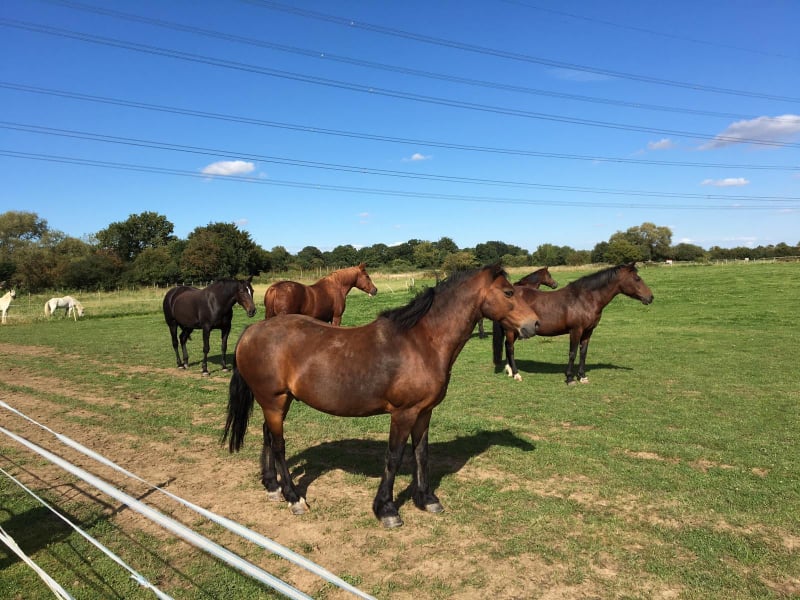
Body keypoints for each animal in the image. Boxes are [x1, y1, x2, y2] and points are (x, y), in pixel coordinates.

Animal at [223, 264, 540, 528]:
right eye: (509, 292)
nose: (534, 325)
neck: (422, 342)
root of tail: (252, 330)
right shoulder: (403, 413)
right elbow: (394, 456)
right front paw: (386, 509)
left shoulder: (424, 412)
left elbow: (421, 453)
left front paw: (427, 499)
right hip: (274, 400)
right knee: (278, 445)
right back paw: (293, 497)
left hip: (278, 401)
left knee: (267, 435)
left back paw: (272, 487)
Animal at [493, 262, 653, 384]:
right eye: (637, 278)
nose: (650, 297)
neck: (584, 299)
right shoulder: (576, 330)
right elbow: (572, 353)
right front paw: (570, 378)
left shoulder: (588, 331)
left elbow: (583, 353)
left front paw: (582, 376)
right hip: (511, 330)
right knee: (510, 348)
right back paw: (516, 374)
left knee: (507, 346)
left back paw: (510, 371)